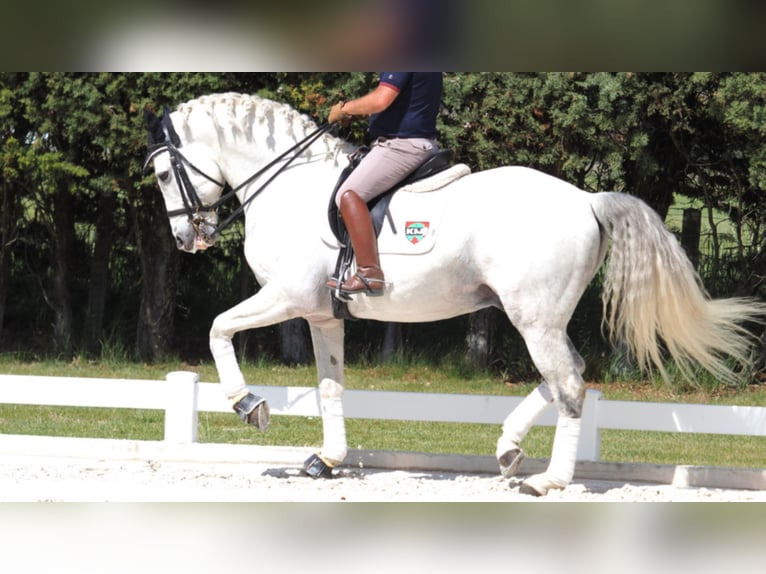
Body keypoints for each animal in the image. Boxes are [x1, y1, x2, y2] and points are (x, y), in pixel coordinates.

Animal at [144, 92, 766, 498]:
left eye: (162, 175)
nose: (186, 239)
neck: (286, 184)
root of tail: (587, 199)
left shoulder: (287, 296)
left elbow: (218, 330)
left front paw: (249, 406)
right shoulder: (322, 314)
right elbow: (330, 385)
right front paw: (327, 459)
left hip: (532, 316)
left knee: (569, 382)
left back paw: (549, 480)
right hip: (535, 314)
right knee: (566, 373)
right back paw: (509, 449)